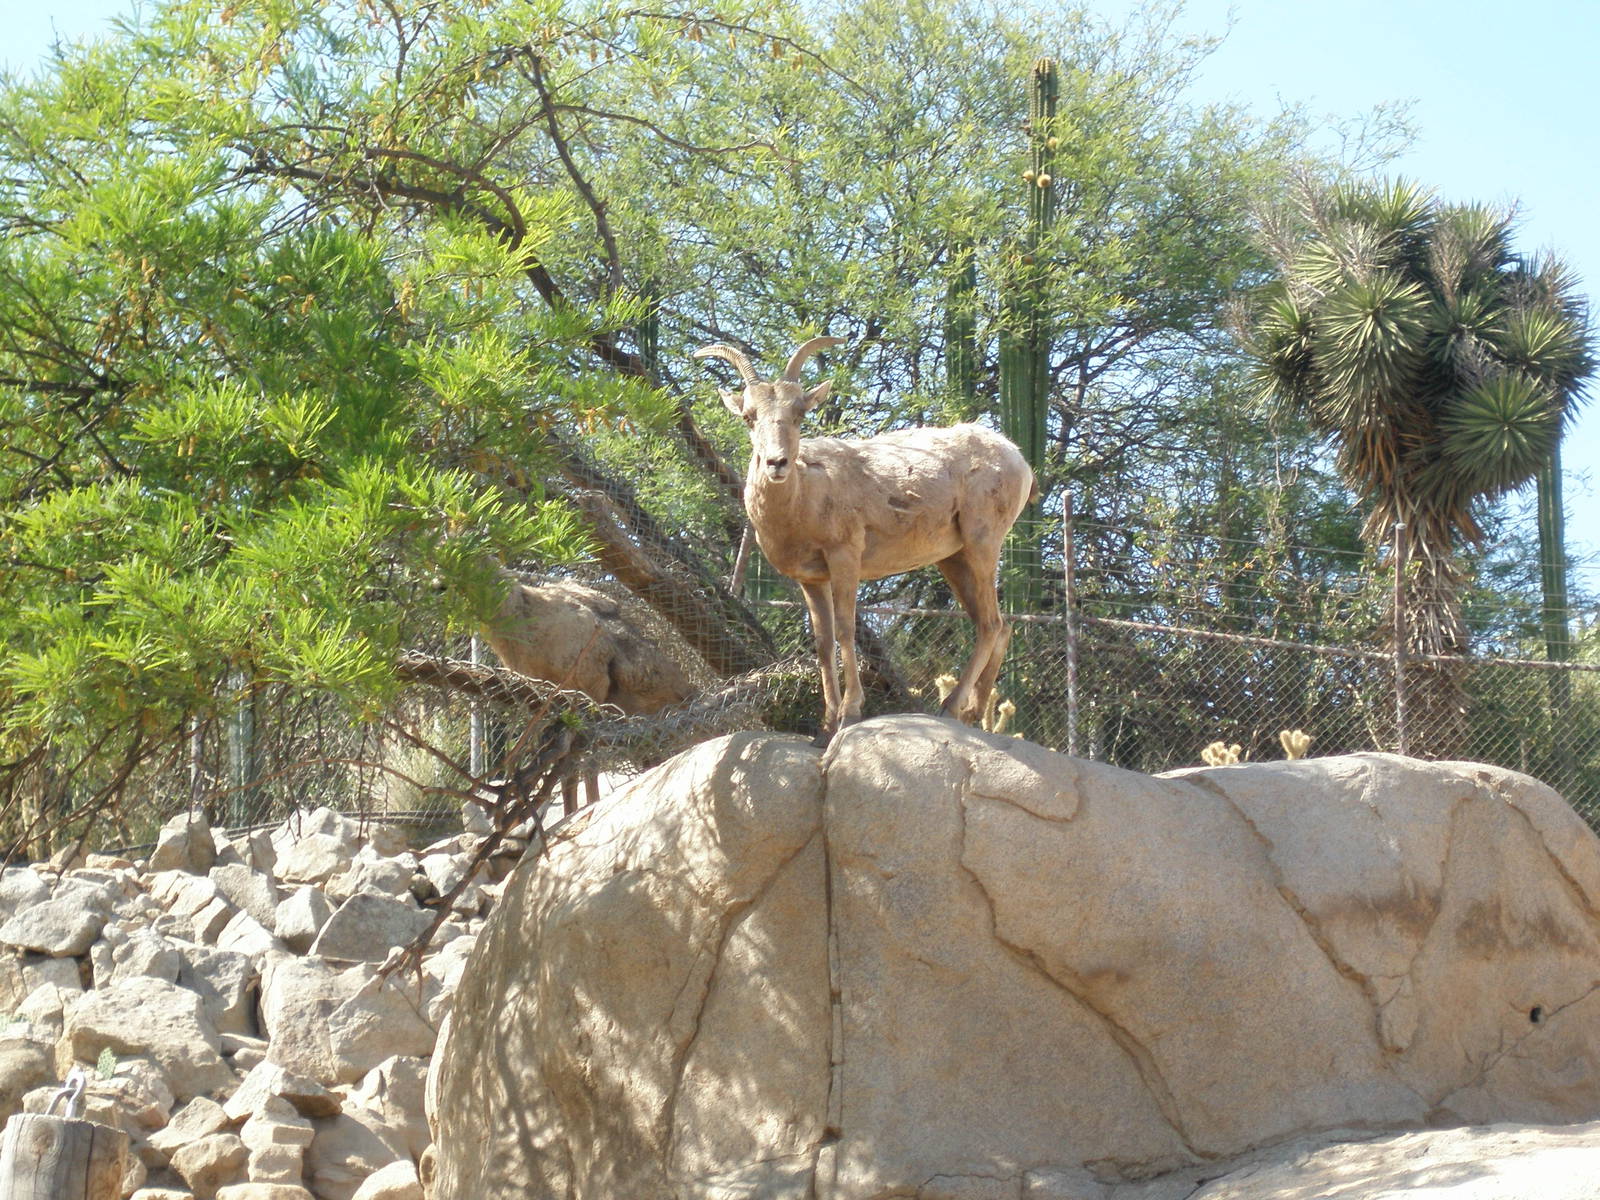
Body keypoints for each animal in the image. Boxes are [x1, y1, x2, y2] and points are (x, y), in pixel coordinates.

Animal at [483, 572, 697, 811]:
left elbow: (584, 763)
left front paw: (586, 807)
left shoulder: (591, 693)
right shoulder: (555, 706)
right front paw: (573, 812)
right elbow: (567, 767)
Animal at [695, 336, 1036, 743]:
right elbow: (823, 643)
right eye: (749, 417)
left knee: (991, 625)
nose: (777, 463)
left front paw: (850, 715)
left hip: (983, 543)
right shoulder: (811, 578)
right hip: (954, 560)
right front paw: (825, 727)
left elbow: (845, 631)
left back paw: (952, 708)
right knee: (997, 626)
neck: (803, 498)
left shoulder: (845, 557)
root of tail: (1018, 459)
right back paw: (971, 712)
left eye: (799, 415)